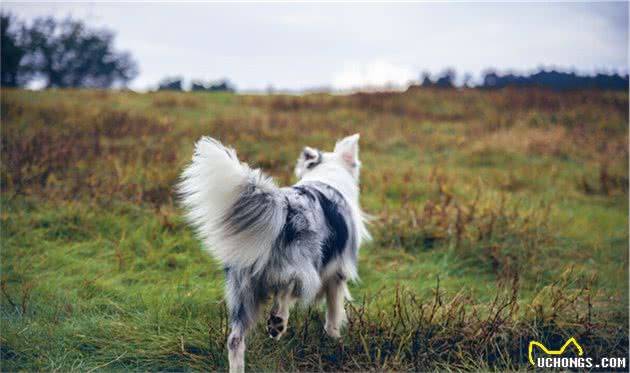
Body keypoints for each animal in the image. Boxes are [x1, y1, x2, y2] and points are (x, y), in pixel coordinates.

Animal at [178, 133, 370, 370]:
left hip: (243, 292)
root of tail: (283, 205)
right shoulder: (338, 273)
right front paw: (335, 339)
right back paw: (278, 322)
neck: (327, 173)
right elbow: (334, 313)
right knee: (286, 288)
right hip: (302, 268)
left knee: (234, 340)